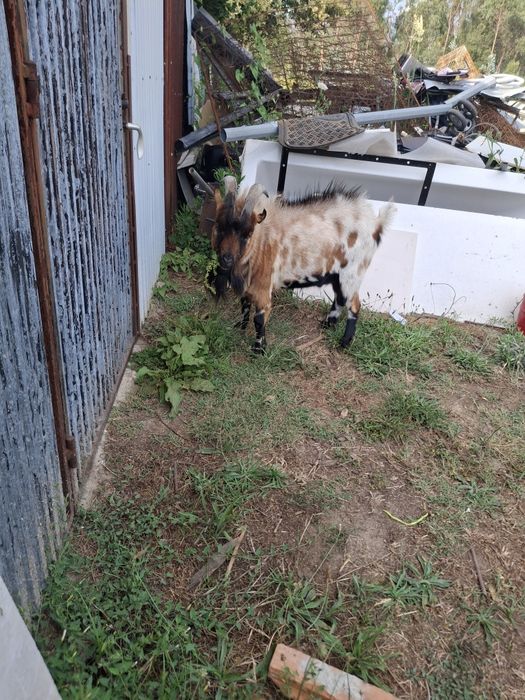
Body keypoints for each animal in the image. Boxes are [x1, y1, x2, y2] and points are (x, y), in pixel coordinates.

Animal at [212, 176, 396, 353]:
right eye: (220, 227)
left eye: (248, 233)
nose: (226, 259)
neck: (262, 241)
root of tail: (376, 222)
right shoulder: (248, 284)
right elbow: (244, 305)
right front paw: (240, 328)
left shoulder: (263, 285)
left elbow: (259, 319)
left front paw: (258, 349)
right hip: (339, 274)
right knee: (340, 298)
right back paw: (327, 324)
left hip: (352, 272)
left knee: (355, 305)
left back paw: (344, 343)